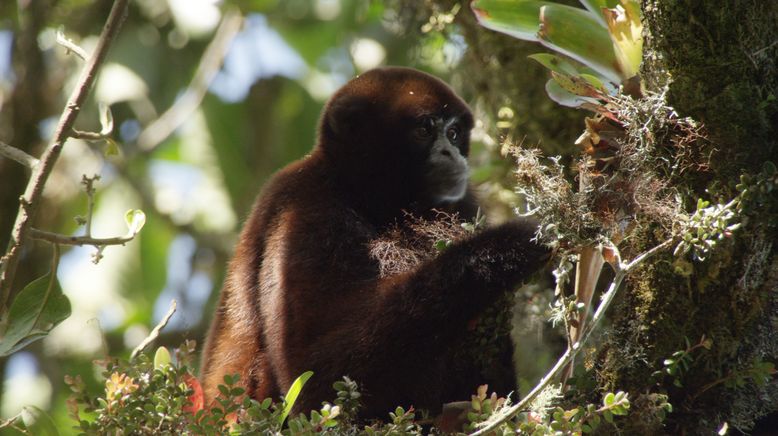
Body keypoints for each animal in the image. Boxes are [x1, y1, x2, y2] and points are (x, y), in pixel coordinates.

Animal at [203, 67, 548, 418]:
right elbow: (310, 376)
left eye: (453, 133)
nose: (452, 153)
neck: (359, 193)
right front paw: (505, 248)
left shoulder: (463, 203)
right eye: (425, 129)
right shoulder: (303, 210)